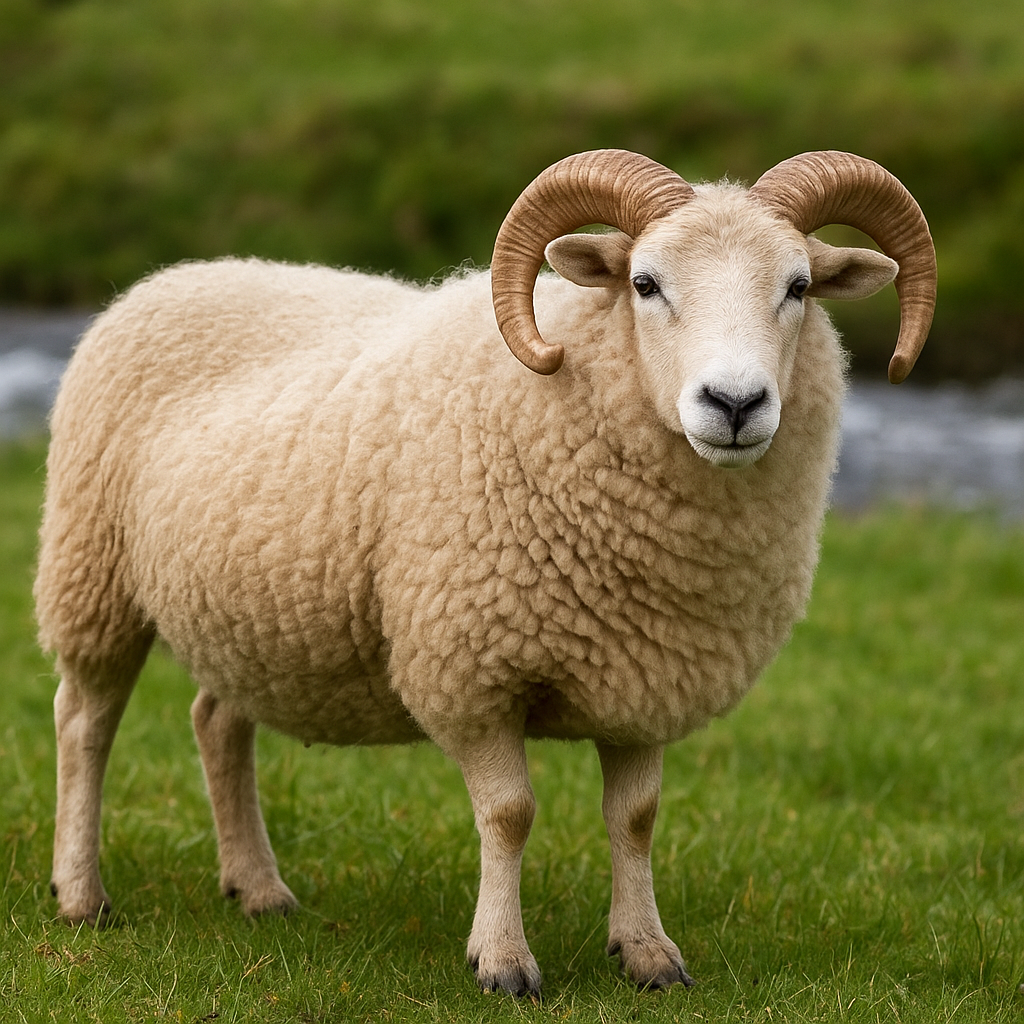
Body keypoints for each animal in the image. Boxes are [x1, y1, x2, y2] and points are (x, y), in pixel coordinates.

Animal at [35, 149, 936, 997]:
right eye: (644, 283)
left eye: (798, 286)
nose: (736, 404)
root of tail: (177, 275)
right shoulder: (471, 667)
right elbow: (509, 815)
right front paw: (502, 960)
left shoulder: (648, 675)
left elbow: (636, 817)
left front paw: (647, 953)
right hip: (92, 573)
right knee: (85, 723)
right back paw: (81, 896)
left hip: (249, 613)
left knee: (218, 723)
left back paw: (258, 890)